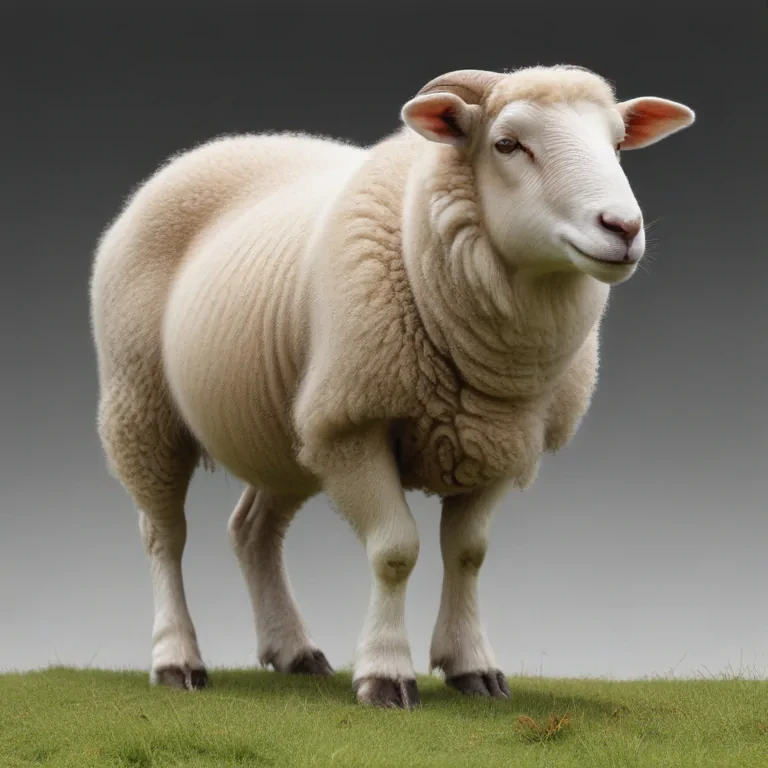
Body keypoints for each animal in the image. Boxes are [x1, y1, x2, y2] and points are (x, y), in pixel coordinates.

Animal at [89, 64, 695, 709]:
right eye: (507, 143)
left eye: (617, 144)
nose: (623, 228)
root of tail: (196, 156)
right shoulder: (356, 425)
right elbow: (395, 551)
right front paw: (384, 673)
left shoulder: (500, 442)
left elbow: (468, 554)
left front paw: (472, 666)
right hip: (142, 406)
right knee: (164, 536)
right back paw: (177, 659)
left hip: (290, 432)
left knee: (252, 533)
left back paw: (294, 651)